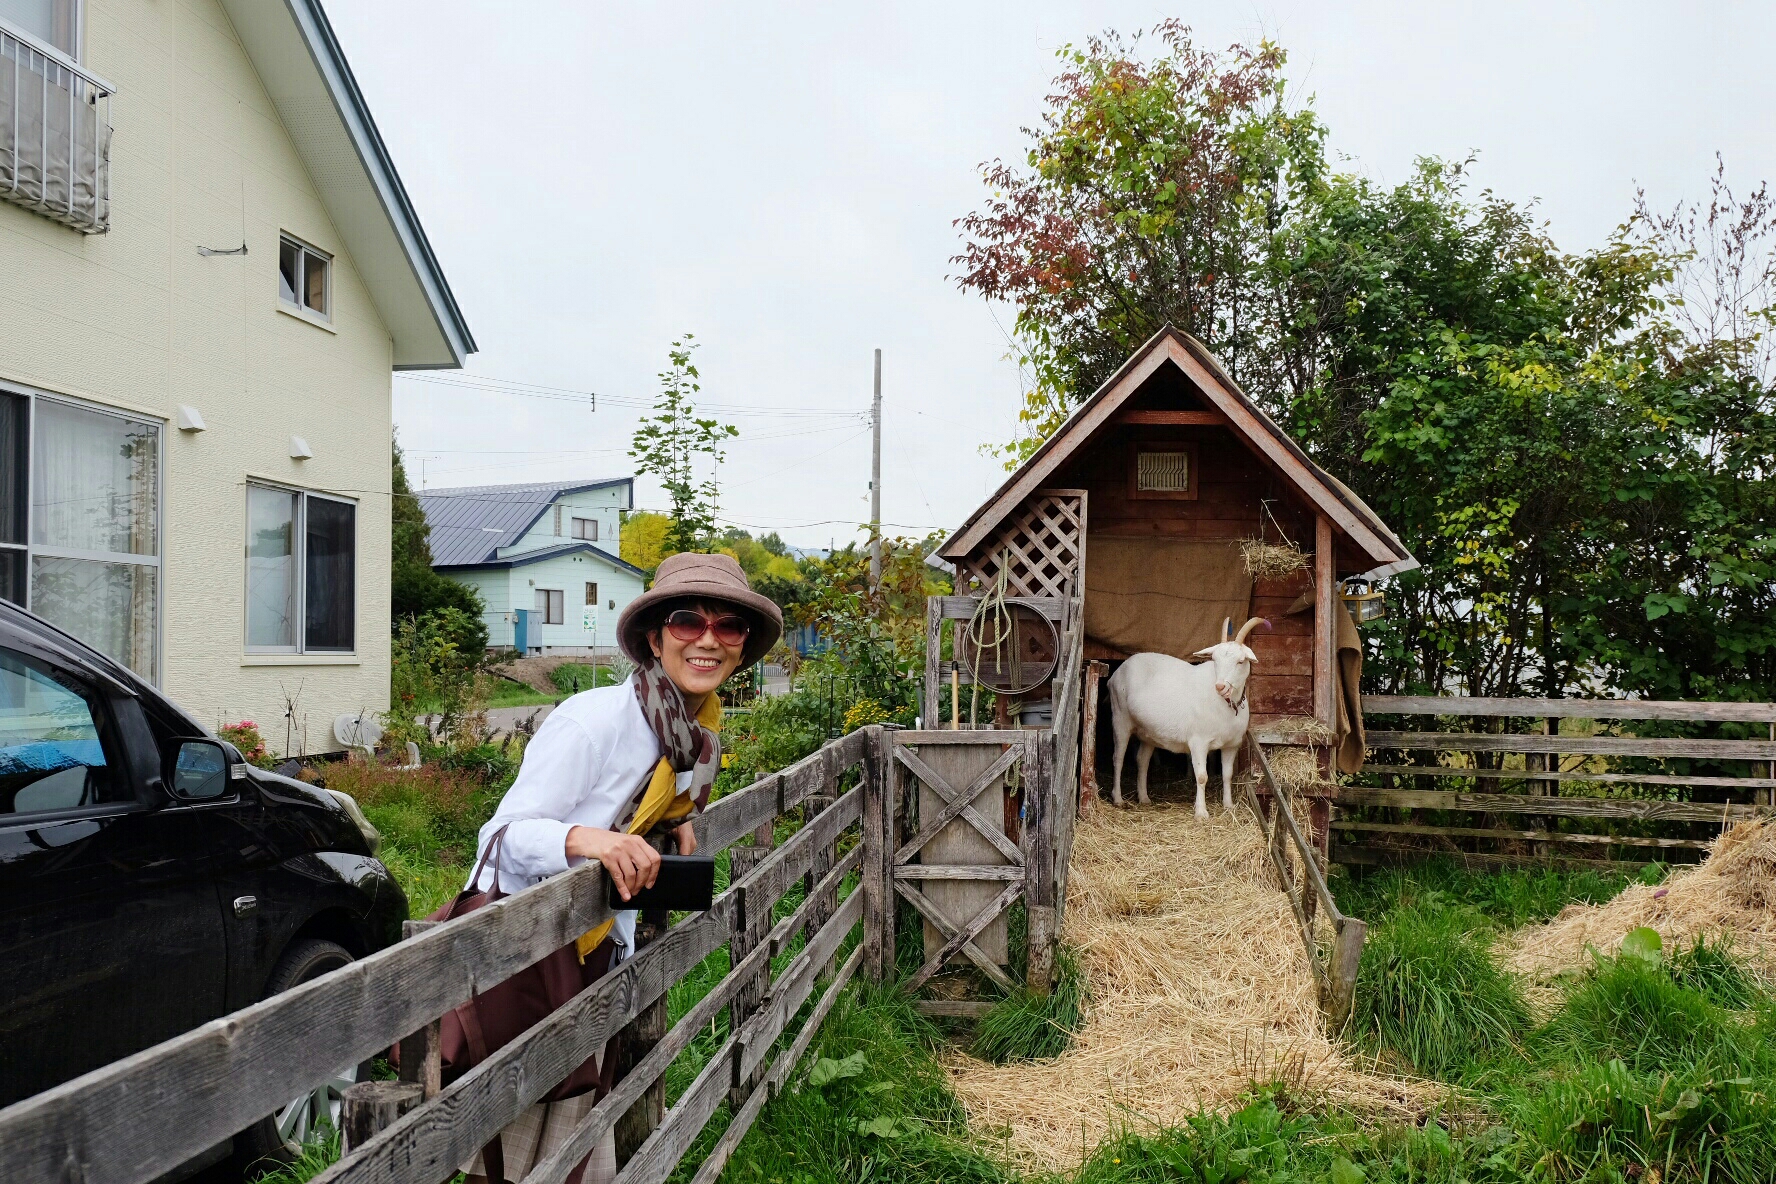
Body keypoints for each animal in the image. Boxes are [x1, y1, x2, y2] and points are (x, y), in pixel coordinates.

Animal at [1101, 621, 1271, 816]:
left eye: (1241, 661)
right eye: (1215, 660)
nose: (1220, 686)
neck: (1226, 705)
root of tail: (1115, 674)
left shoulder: (1232, 744)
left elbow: (1227, 775)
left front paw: (1228, 805)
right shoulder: (1199, 741)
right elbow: (1202, 776)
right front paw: (1201, 812)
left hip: (1148, 733)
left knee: (1142, 760)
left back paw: (1144, 798)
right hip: (1120, 718)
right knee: (1118, 758)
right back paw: (1118, 799)